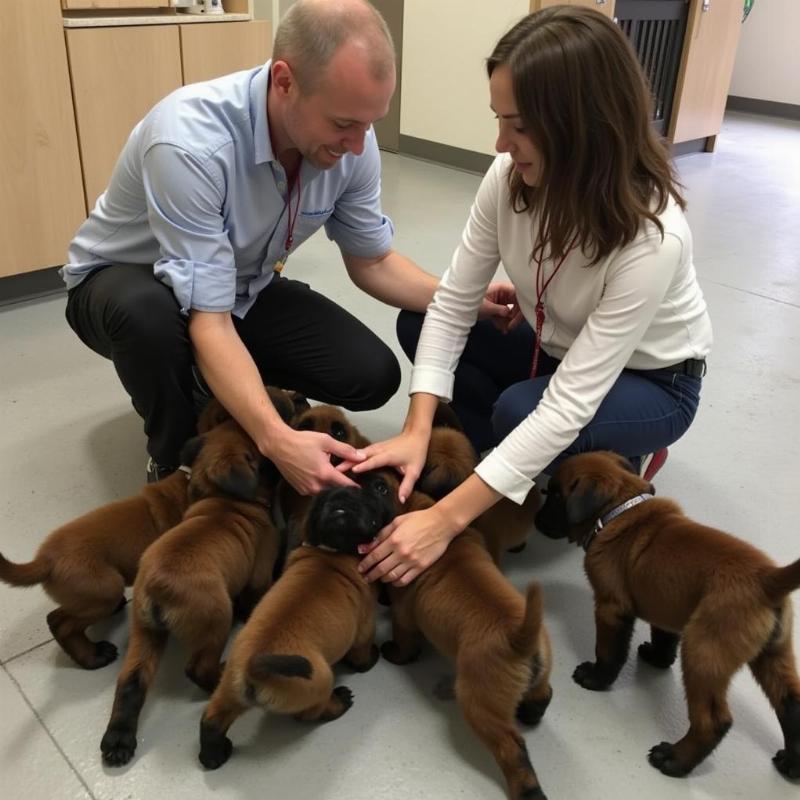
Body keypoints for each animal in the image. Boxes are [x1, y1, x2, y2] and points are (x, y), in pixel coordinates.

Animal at [0, 468, 191, 668]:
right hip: (107, 589)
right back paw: (93, 656)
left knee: (54, 618)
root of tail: (45, 560)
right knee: (65, 627)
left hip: (88, 598)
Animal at [101, 416, 282, 764]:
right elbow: (255, 595)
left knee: (131, 682)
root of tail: (157, 589)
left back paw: (118, 740)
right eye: (259, 451)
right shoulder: (260, 568)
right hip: (215, 621)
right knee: (197, 669)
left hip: (145, 632)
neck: (223, 500)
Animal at [197, 466, 404, 772]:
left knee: (211, 721)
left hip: (228, 691)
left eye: (378, 487)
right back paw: (339, 703)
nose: (343, 495)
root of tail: (253, 671)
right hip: (317, 685)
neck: (333, 551)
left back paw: (213, 756)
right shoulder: (364, 628)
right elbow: (361, 654)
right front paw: (369, 661)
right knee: (310, 714)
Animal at [382, 490, 552, 800]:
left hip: (478, 706)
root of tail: (519, 638)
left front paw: (393, 653)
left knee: (511, 750)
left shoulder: (402, 616)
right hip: (541, 674)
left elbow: (404, 645)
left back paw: (528, 791)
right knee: (543, 695)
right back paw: (530, 714)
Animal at [536, 454, 800, 780]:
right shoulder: (665, 605)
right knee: (791, 705)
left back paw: (674, 759)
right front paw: (657, 658)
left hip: (704, 654)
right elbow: (663, 637)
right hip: (773, 655)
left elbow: (609, 652)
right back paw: (792, 763)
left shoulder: (611, 608)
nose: (536, 519)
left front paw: (596, 678)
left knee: (714, 721)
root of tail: (768, 579)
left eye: (555, 495)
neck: (618, 512)